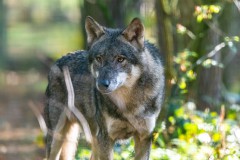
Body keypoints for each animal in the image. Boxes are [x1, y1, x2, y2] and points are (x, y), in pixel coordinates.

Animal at [44, 16, 165, 160]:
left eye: (120, 59)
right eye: (99, 58)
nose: (102, 84)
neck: (128, 104)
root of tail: (57, 62)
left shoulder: (144, 137)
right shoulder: (106, 139)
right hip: (57, 138)